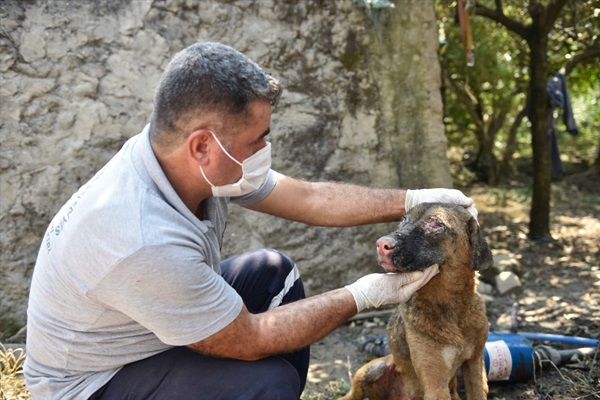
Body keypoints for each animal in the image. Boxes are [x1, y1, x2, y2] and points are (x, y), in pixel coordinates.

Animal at [342, 203, 492, 400]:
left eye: (436, 224)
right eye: (404, 219)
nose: (382, 244)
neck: (451, 308)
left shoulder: (475, 363)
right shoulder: (435, 383)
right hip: (372, 369)